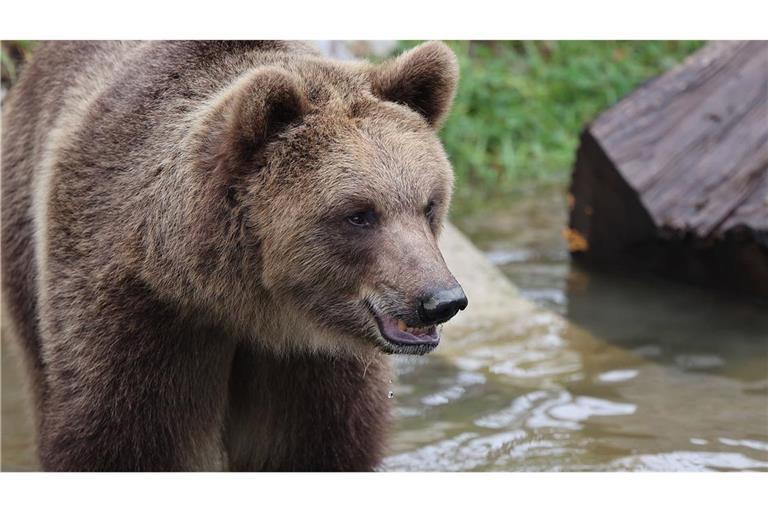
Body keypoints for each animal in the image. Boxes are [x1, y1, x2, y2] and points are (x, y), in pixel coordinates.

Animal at [1, 41, 462, 472]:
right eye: (359, 214)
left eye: (428, 204)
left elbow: (312, 448)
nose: (441, 300)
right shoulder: (136, 312)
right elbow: (124, 439)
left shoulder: (312, 367)